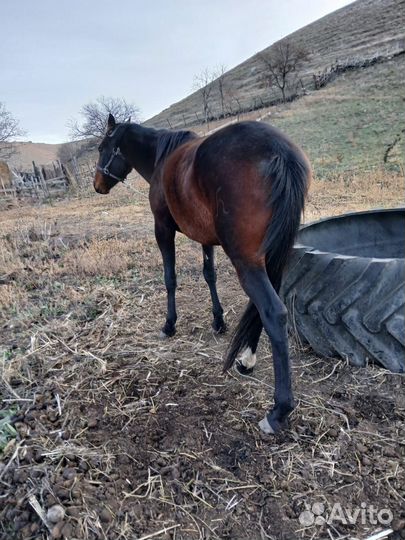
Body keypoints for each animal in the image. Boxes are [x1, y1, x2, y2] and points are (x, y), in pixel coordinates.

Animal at [94, 115, 310, 434]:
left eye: (101, 148)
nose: (97, 185)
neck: (162, 157)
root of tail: (278, 151)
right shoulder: (205, 237)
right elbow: (210, 274)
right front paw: (218, 321)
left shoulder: (163, 229)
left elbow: (170, 278)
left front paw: (169, 324)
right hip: (274, 257)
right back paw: (246, 359)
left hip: (247, 261)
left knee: (273, 312)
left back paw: (278, 411)